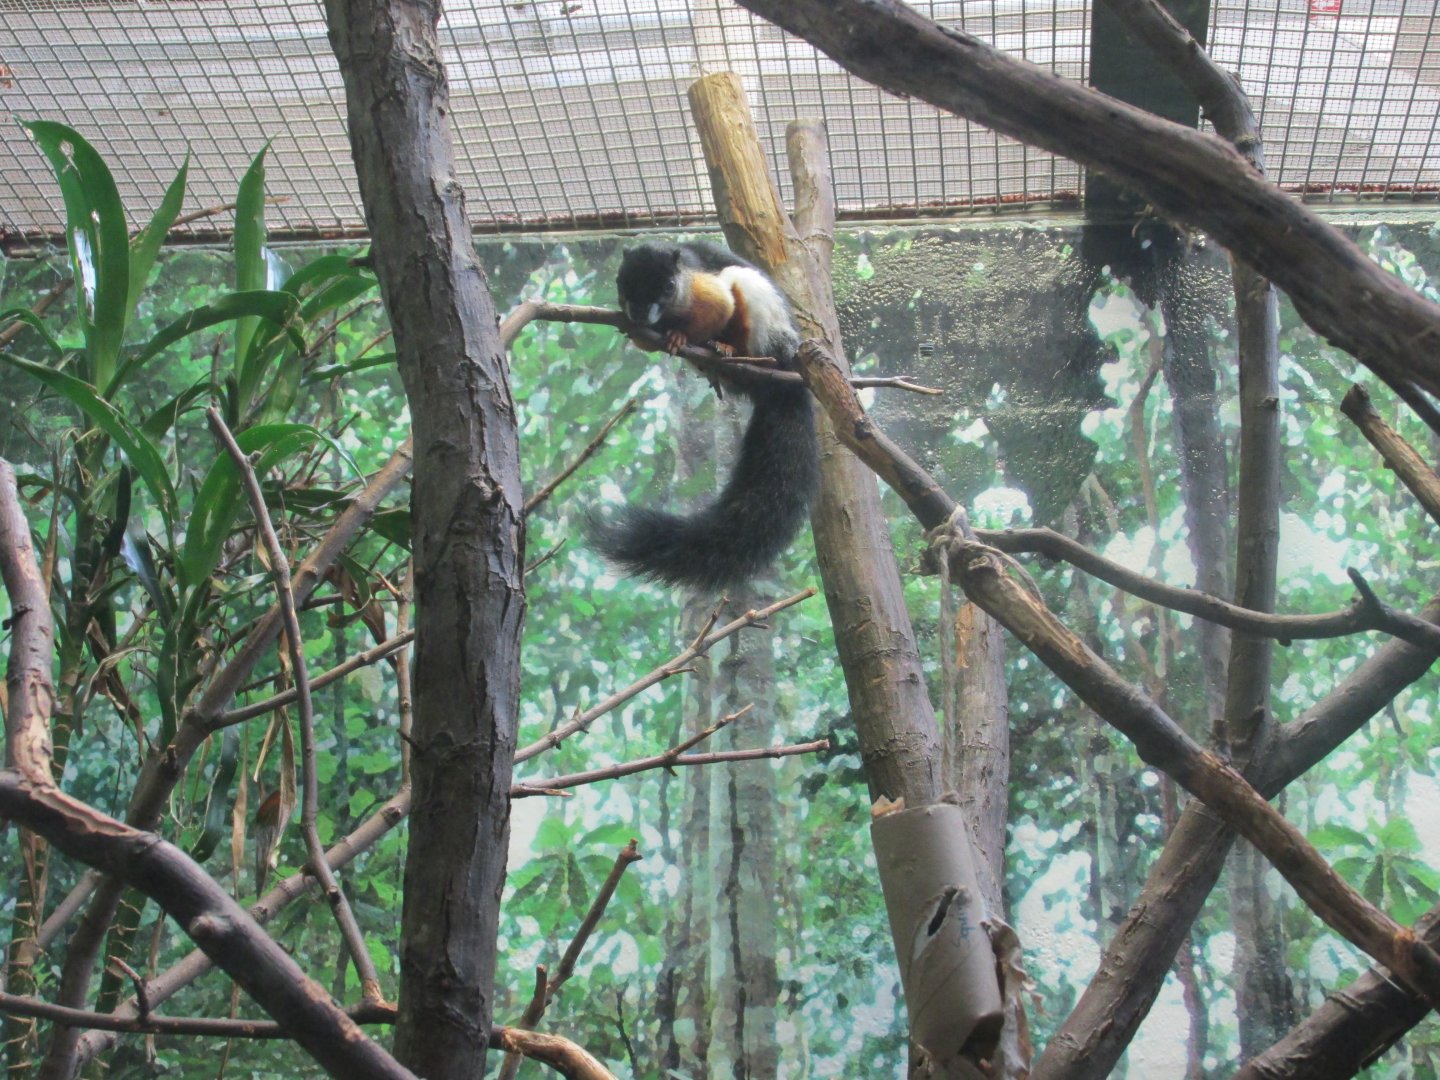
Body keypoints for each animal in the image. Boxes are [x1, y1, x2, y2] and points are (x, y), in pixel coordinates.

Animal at [588, 240, 820, 592]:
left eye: (668, 287)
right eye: (622, 282)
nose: (640, 313)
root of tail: (785, 379)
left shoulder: (703, 289)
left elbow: (721, 306)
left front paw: (679, 337)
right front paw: (642, 333)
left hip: (768, 337)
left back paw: (727, 350)